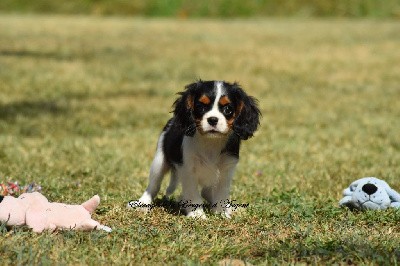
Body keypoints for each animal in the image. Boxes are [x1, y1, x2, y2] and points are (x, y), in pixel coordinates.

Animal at [131, 79, 260, 218]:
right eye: (200, 106)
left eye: (228, 109)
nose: (213, 119)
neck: (211, 142)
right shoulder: (188, 169)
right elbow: (192, 192)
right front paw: (197, 214)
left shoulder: (226, 169)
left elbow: (221, 193)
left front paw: (221, 213)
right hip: (159, 161)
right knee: (153, 185)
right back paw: (142, 203)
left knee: (206, 191)